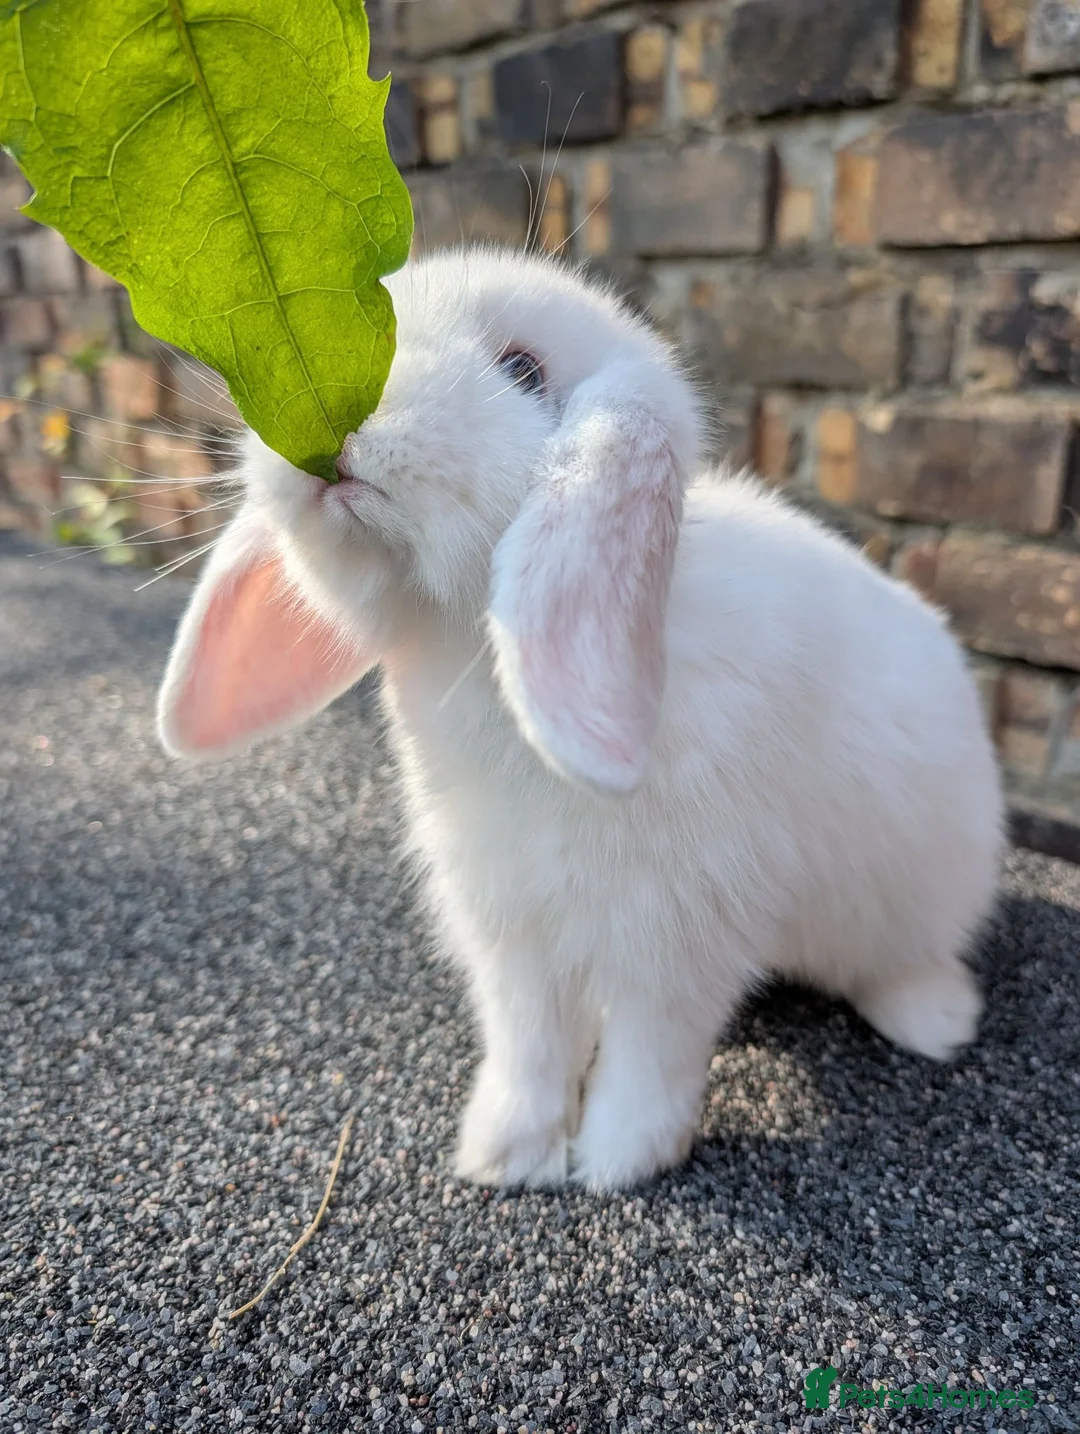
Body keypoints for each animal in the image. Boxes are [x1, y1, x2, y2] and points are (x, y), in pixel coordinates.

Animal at [157, 244, 1005, 1193]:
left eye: (523, 370)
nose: (330, 419)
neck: (482, 664)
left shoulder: (677, 935)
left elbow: (653, 1056)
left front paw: (619, 1163)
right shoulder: (511, 933)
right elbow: (529, 1045)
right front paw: (507, 1155)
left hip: (920, 893)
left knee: (908, 959)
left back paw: (936, 1022)